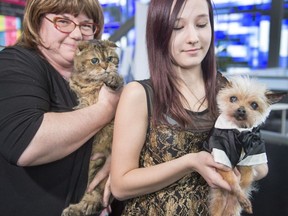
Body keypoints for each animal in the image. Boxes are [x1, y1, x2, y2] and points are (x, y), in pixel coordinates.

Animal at [62, 39, 124, 216]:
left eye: (110, 58)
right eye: (95, 60)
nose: (105, 67)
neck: (93, 84)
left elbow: (118, 78)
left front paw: (112, 78)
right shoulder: (83, 99)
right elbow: (82, 104)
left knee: (95, 197)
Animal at [204, 76, 284, 216]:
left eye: (254, 105)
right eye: (233, 98)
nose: (241, 110)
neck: (239, 132)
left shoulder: (250, 160)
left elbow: (244, 182)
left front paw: (238, 201)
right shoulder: (222, 158)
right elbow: (233, 181)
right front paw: (239, 195)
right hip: (218, 195)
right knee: (218, 204)